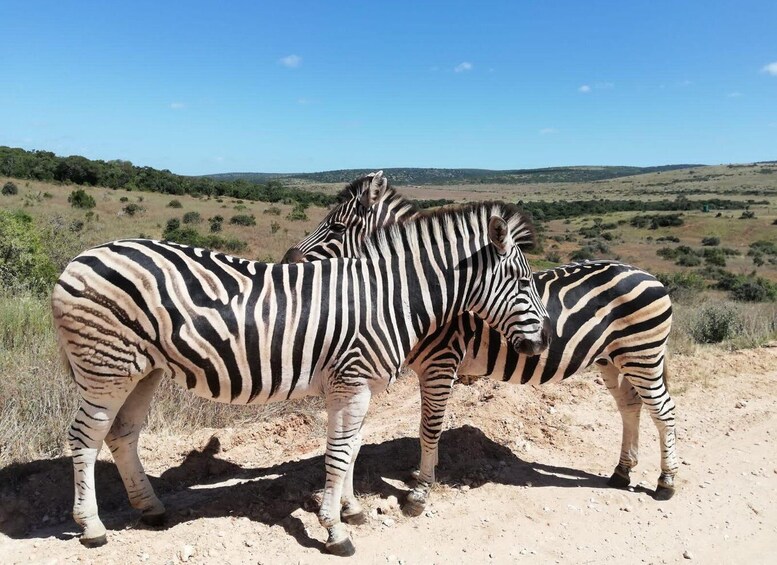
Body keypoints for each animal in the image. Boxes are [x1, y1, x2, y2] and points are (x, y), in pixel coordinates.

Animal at [53, 199, 552, 556]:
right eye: (524, 283)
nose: (545, 341)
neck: (388, 297)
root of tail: (78, 258)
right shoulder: (351, 383)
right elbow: (339, 456)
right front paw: (335, 532)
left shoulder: (356, 388)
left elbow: (350, 452)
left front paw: (351, 510)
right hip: (106, 366)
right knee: (84, 438)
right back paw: (92, 528)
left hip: (142, 369)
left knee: (122, 434)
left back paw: (151, 509)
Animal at [284, 172, 680, 516]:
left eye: (336, 227)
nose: (288, 260)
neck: (417, 291)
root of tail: (648, 275)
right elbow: (420, 427)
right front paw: (420, 475)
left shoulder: (441, 363)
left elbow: (429, 427)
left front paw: (421, 490)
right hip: (611, 359)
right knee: (630, 406)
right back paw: (622, 472)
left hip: (643, 355)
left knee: (664, 411)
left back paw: (666, 482)